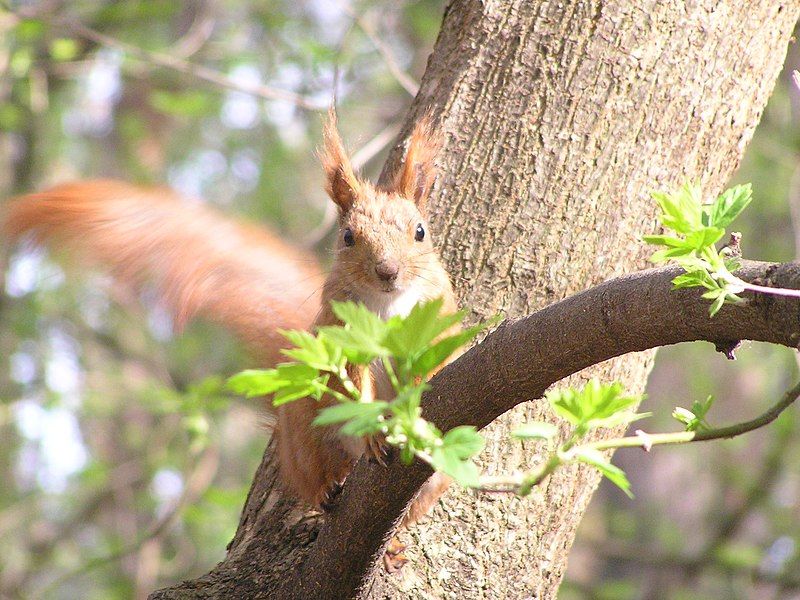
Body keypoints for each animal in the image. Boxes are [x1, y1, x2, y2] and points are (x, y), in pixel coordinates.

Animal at [1, 110, 456, 536]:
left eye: (420, 232)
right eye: (347, 237)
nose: (387, 271)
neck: (389, 305)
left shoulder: (439, 319)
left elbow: (435, 363)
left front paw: (415, 398)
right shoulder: (341, 331)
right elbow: (351, 382)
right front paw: (375, 431)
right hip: (307, 438)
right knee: (316, 473)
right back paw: (329, 489)